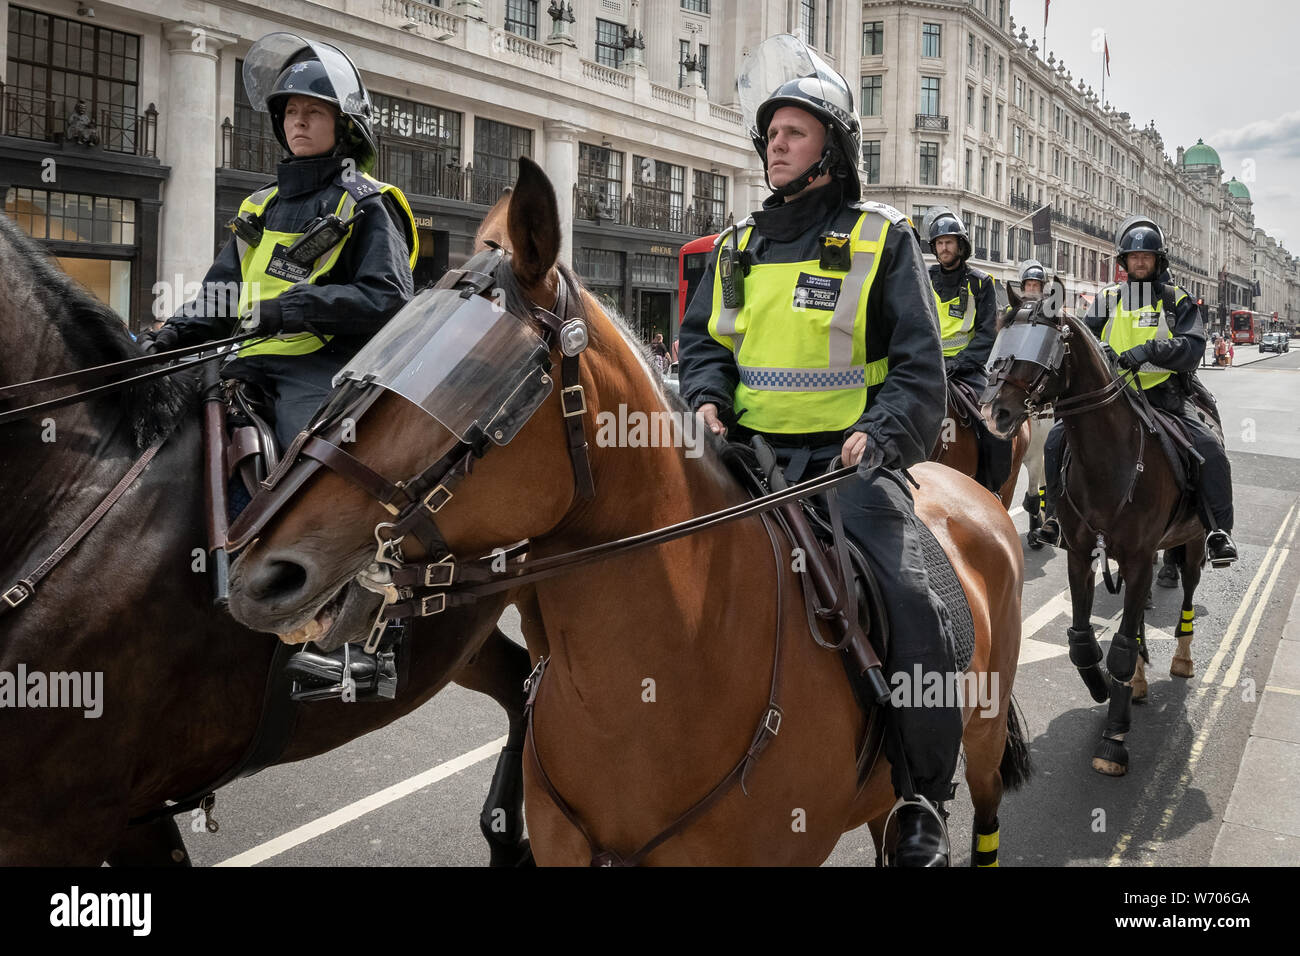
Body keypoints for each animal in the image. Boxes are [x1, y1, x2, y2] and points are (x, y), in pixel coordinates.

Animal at [982, 295, 1206, 775]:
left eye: (1040, 347)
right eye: (1000, 340)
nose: (995, 414)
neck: (1107, 458)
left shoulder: (1138, 557)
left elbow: (1120, 643)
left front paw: (1114, 737)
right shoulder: (1081, 554)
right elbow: (1084, 640)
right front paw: (1104, 686)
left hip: (1192, 541)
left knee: (1189, 587)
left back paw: (1181, 658)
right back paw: (1136, 682)